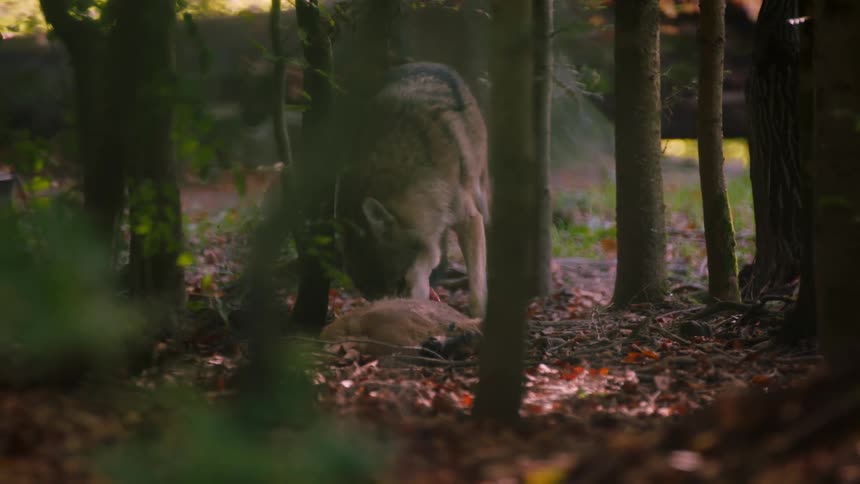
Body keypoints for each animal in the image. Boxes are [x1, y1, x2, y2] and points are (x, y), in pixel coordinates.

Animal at [336, 62, 490, 317]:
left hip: (481, 192)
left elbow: (477, 285)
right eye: (374, 298)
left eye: (400, 284)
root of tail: (430, 63)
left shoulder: (470, 219)